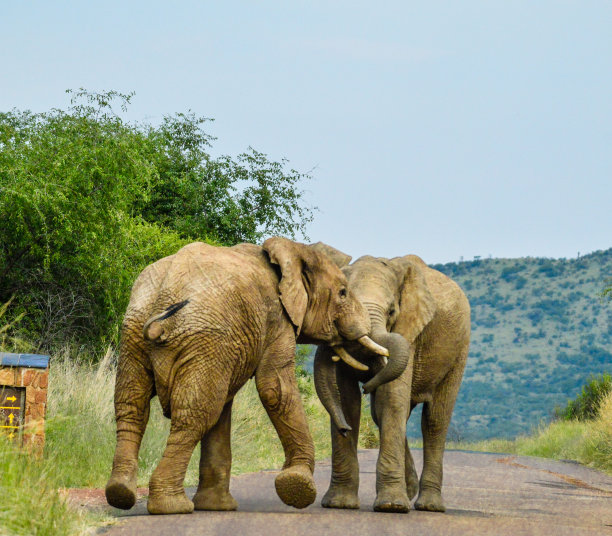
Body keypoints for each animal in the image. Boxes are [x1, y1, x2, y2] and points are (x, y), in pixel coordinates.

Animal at [104, 239, 392, 516]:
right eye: (343, 292)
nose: (345, 429)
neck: (293, 250)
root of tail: (165, 292)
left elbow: (224, 408)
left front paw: (216, 507)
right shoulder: (276, 319)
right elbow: (275, 388)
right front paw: (297, 486)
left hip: (136, 334)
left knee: (132, 406)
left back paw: (120, 493)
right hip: (199, 337)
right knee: (194, 416)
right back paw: (172, 507)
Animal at [310, 250, 468, 516]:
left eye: (392, 311)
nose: (367, 385)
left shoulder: (409, 331)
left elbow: (392, 396)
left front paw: (391, 506)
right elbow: (347, 401)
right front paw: (339, 504)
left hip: (460, 350)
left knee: (435, 419)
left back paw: (429, 506)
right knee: (382, 414)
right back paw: (410, 491)